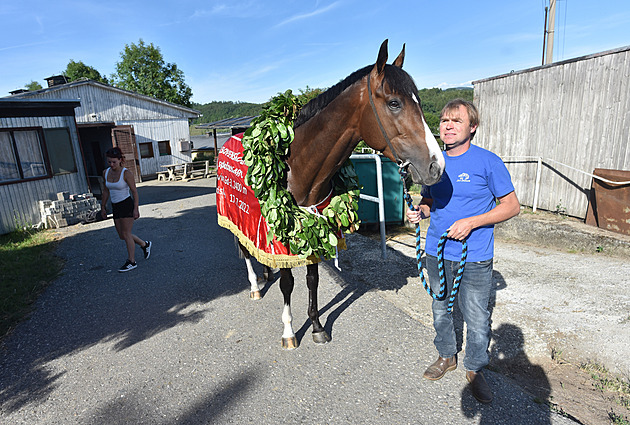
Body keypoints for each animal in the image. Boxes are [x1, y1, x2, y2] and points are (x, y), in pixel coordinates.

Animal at [232, 39, 444, 348]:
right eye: (394, 102)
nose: (436, 166)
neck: (296, 166)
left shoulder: (314, 227)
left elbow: (313, 279)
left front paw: (317, 326)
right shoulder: (284, 236)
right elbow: (288, 284)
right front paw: (289, 331)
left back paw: (265, 273)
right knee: (244, 249)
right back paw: (254, 286)